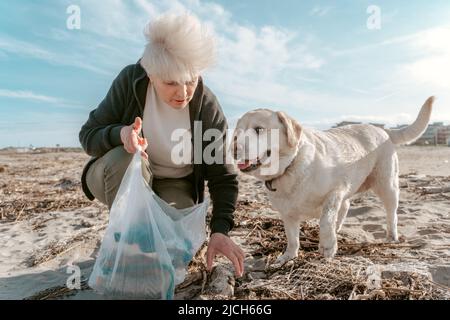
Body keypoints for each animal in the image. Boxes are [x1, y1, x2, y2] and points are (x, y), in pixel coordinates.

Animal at [232, 97, 432, 262]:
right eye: (237, 134)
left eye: (259, 129)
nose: (233, 148)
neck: (290, 166)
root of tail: (381, 128)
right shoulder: (287, 214)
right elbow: (292, 238)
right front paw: (288, 256)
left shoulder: (336, 190)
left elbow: (325, 219)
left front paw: (328, 246)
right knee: (346, 206)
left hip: (387, 185)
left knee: (391, 213)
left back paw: (391, 236)